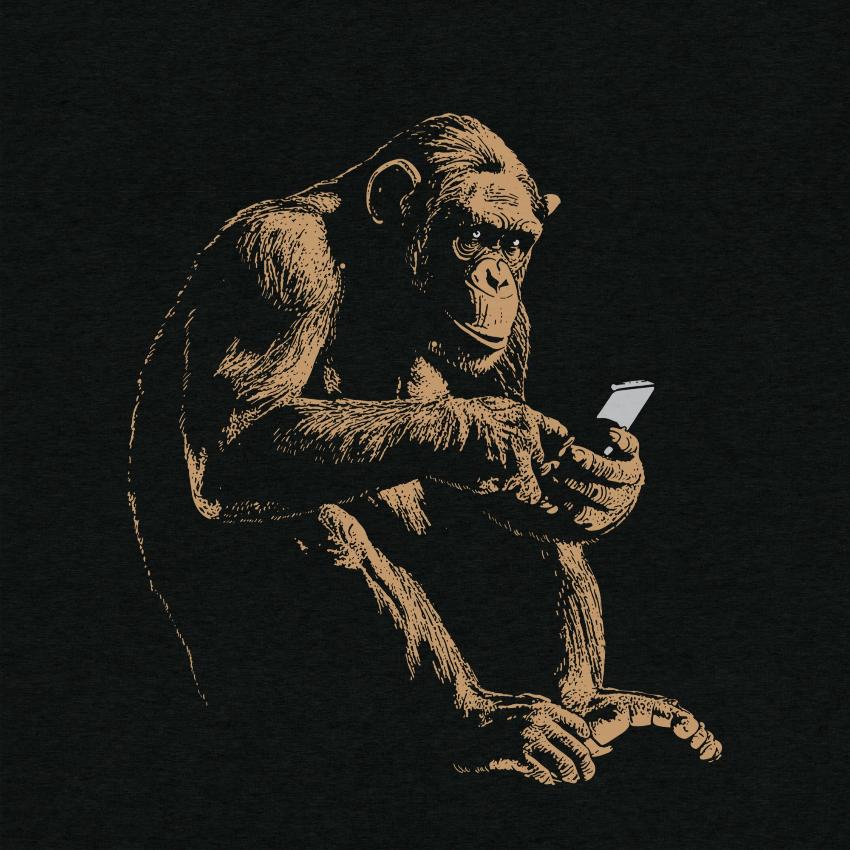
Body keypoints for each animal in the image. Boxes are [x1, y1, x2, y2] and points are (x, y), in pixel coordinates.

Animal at [128, 114, 721, 786]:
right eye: (474, 236)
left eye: (515, 244)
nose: (498, 278)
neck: (378, 274)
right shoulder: (278, 259)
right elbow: (236, 445)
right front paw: (489, 429)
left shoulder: (515, 328)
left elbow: (534, 493)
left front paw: (606, 481)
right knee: (311, 522)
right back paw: (485, 724)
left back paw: (591, 705)